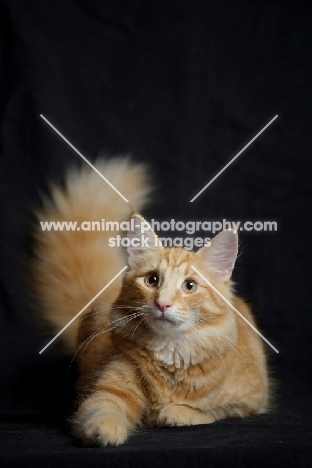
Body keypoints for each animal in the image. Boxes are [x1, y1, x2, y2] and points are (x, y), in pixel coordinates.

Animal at [31, 156, 268, 446]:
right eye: (152, 280)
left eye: (189, 286)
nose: (163, 303)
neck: (172, 354)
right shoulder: (109, 387)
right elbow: (102, 408)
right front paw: (104, 432)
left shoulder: (252, 399)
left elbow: (210, 410)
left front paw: (175, 412)